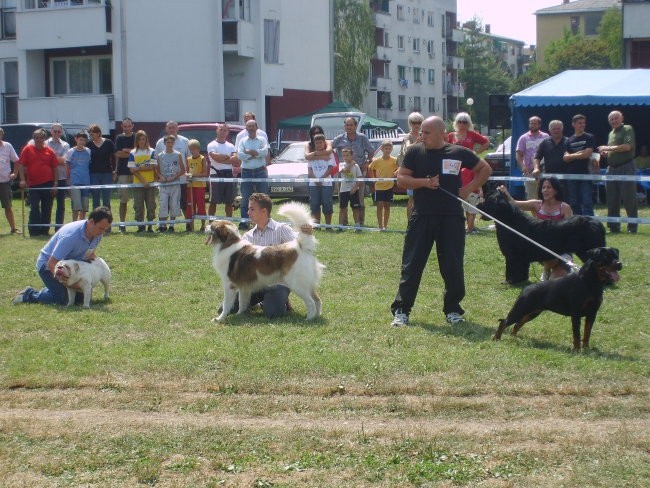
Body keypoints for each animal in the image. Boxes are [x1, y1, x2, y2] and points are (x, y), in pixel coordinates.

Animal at [474, 190, 604, 282]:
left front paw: (510, 281)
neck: (509, 221)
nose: (478, 205)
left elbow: (513, 268)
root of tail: (597, 223)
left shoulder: (514, 255)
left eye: (487, 200)